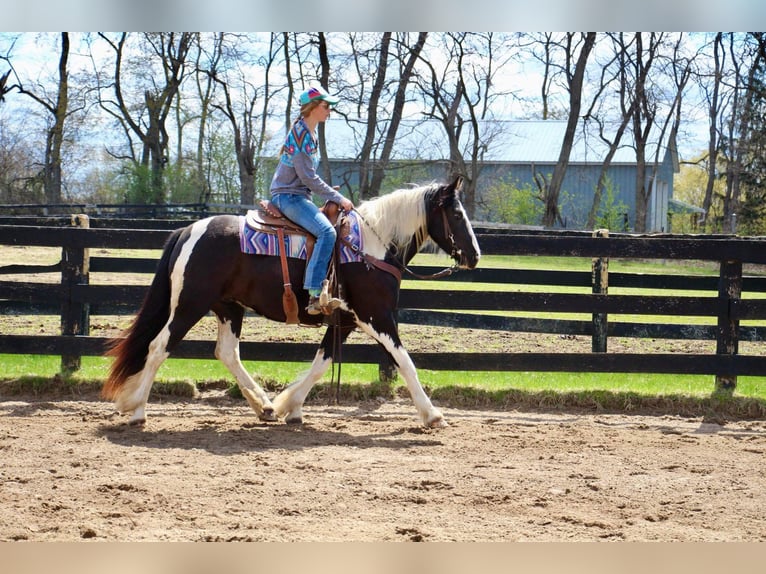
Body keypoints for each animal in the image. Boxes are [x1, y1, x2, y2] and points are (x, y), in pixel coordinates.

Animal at [105, 178, 484, 430]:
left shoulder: (346, 321)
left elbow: (321, 363)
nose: (475, 256)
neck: (371, 248)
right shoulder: (376, 316)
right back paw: (137, 410)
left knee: (226, 353)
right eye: (457, 214)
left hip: (229, 307)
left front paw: (291, 405)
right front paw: (432, 415)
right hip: (188, 305)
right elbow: (405, 362)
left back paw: (265, 408)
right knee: (158, 347)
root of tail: (187, 230)